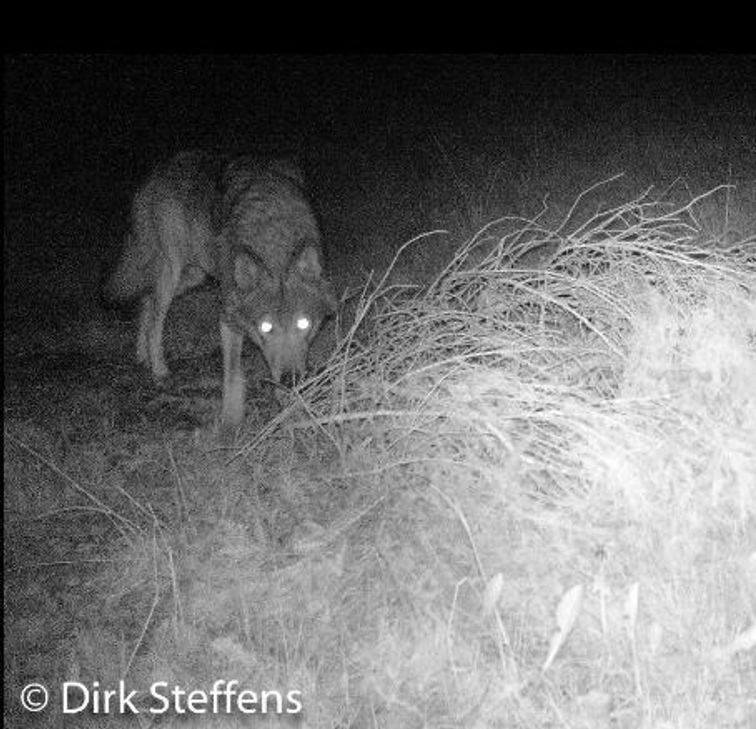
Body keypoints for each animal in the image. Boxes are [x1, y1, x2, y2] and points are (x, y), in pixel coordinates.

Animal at [104, 150, 336, 430]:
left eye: (304, 323)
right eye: (265, 327)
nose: (290, 379)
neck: (273, 241)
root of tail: (159, 169)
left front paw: (292, 409)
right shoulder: (229, 317)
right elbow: (233, 376)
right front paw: (231, 424)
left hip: (194, 275)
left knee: (146, 300)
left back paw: (141, 355)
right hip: (172, 271)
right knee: (156, 319)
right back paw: (158, 369)